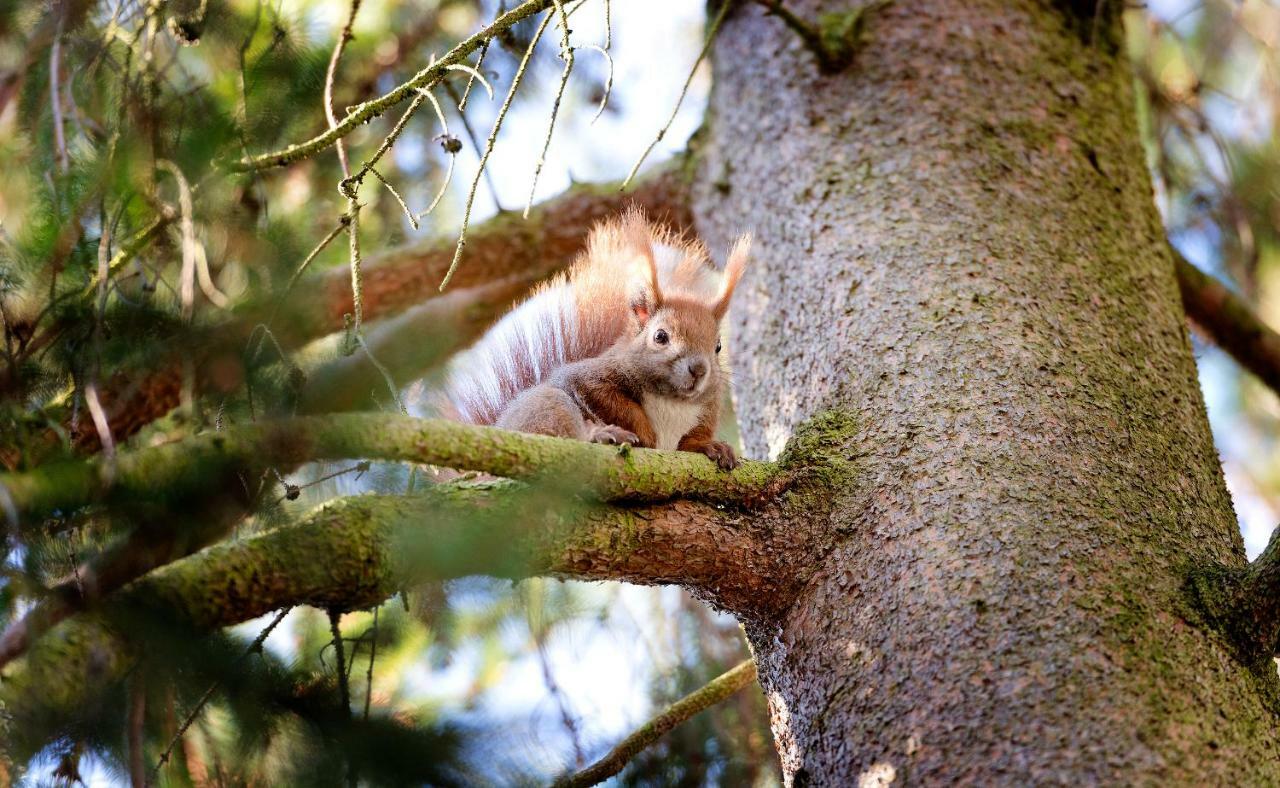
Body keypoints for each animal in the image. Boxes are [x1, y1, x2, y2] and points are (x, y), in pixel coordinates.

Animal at [435, 211, 747, 468]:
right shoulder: (589, 379)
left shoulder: (707, 409)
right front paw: (644, 434)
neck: (673, 400)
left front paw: (710, 446)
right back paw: (600, 435)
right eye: (660, 336)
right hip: (546, 407)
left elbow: (692, 440)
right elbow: (615, 404)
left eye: (718, 346)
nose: (699, 369)